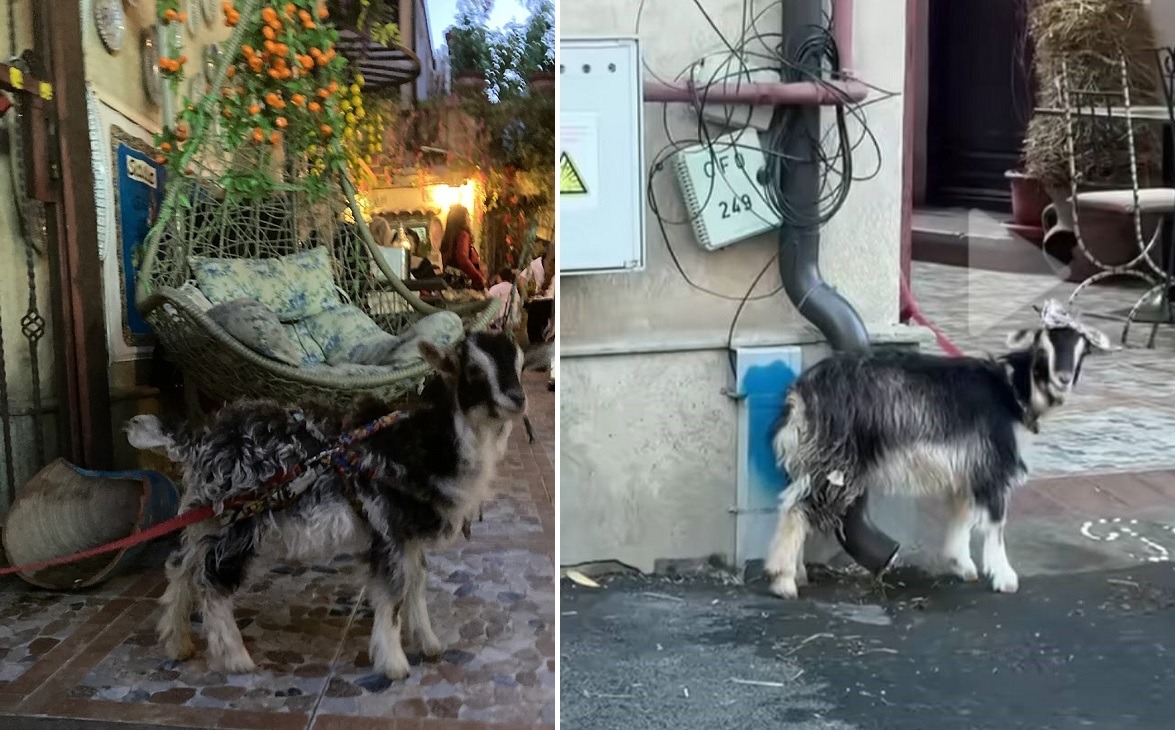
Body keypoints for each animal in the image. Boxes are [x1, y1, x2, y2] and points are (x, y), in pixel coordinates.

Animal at [125, 332, 526, 679]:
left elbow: (415, 584)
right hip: (242, 522)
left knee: (182, 568)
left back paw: (178, 642)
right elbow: (393, 593)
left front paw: (428, 643)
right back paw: (236, 658)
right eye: (472, 370)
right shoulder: (388, 528)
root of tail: (202, 439)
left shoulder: (407, 534)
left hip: (207, 514)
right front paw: (394, 663)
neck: (423, 442)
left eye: (518, 362)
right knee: (213, 582)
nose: (517, 399)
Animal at [764, 299, 1113, 599]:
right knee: (798, 508)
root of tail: (801, 392)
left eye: (1083, 348)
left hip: (816, 458)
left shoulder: (968, 466)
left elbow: (963, 514)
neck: (1013, 391)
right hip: (835, 459)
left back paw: (796, 573)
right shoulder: (993, 464)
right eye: (1045, 343)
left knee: (794, 504)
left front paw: (962, 565)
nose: (1063, 378)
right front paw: (1004, 577)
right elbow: (996, 523)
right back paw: (783, 581)